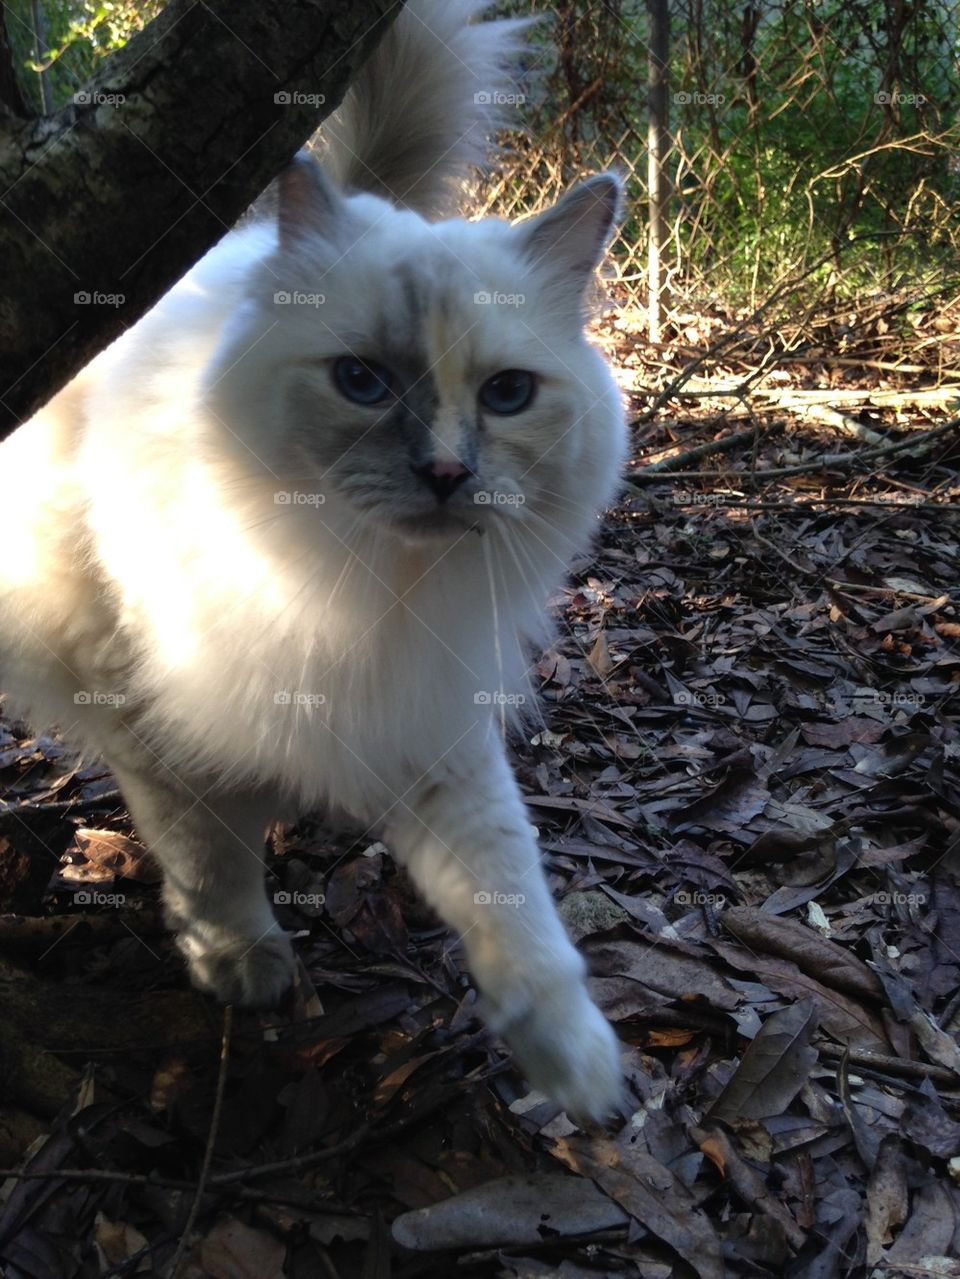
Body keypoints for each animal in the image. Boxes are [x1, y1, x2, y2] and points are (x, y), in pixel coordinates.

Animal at [0, 0, 631, 1120]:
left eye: (508, 395)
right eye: (362, 382)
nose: (445, 472)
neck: (357, 587)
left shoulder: (428, 716)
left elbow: (512, 899)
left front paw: (580, 1068)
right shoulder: (151, 716)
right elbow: (209, 858)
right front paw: (241, 961)